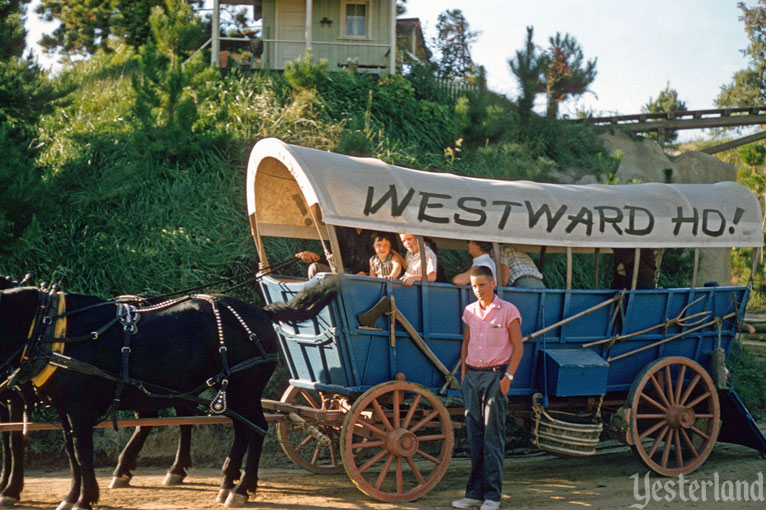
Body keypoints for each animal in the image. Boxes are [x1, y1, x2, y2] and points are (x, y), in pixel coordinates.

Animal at [0, 278, 338, 510]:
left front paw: (84, 499)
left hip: (244, 387)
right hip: (229, 391)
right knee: (243, 429)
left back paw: (241, 489)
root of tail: (261, 312)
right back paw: (227, 481)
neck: (51, 327)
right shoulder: (63, 408)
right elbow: (71, 454)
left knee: (256, 429)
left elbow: (80, 454)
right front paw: (72, 497)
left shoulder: (78, 408)